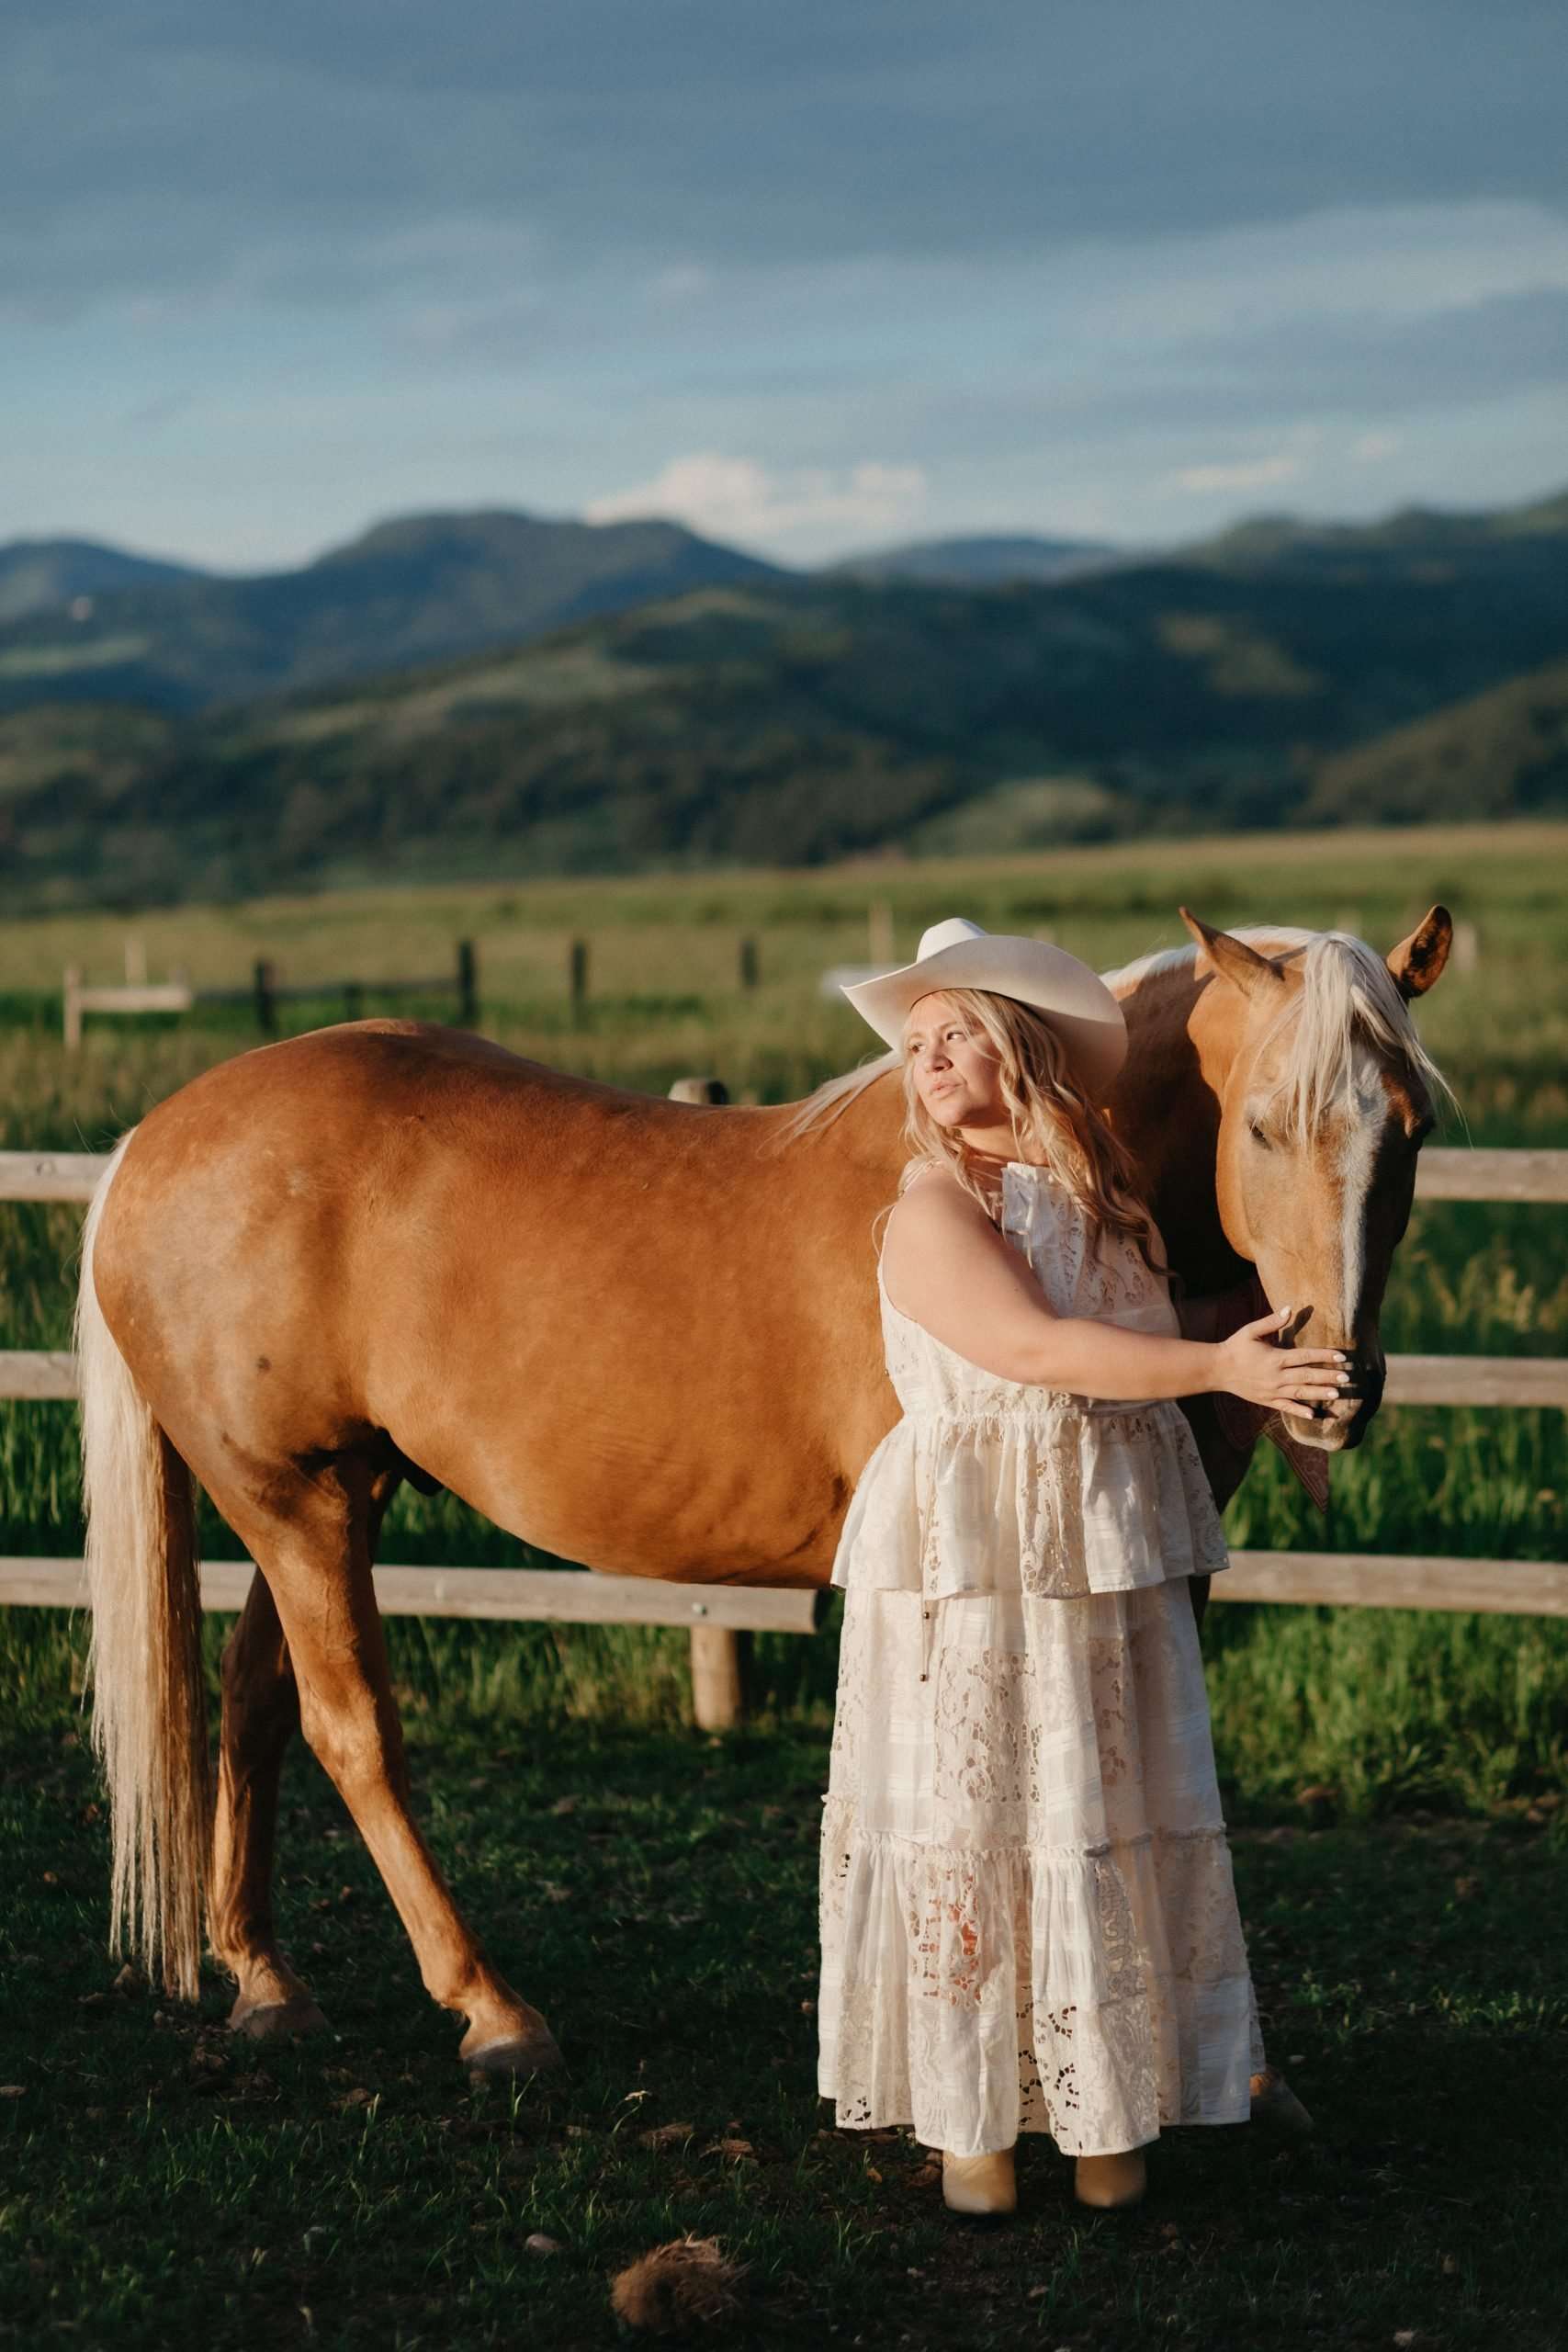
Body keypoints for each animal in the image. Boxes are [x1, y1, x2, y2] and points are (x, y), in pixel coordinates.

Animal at [77, 904, 1453, 2077]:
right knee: (349, 1727)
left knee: (257, 1700)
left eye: (1410, 1128)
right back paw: (490, 2010)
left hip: (337, 1494)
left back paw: (266, 1981)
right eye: (1262, 1124)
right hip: (293, 1500)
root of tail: (154, 1136)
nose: (1331, 1383)